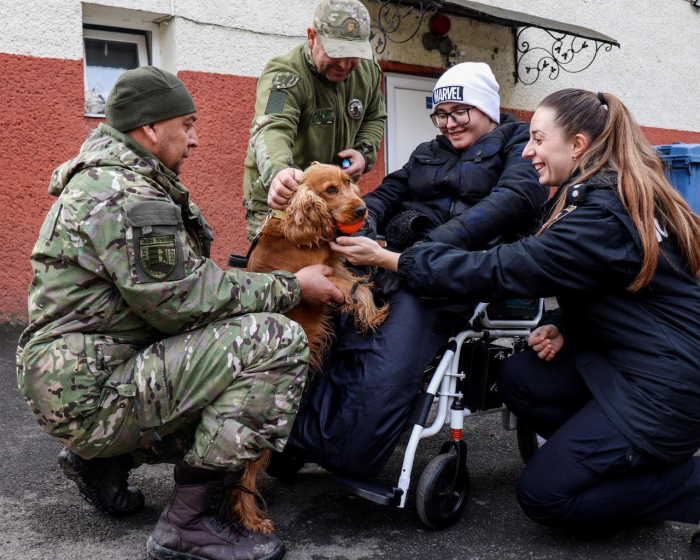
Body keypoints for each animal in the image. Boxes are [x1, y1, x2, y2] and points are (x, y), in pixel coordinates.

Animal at [234, 161, 392, 532]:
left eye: (348, 182)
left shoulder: (336, 267)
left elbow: (360, 286)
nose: (361, 209)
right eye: (330, 190)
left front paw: (371, 313)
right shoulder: (323, 276)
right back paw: (252, 521)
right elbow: (357, 289)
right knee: (243, 477)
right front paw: (371, 314)